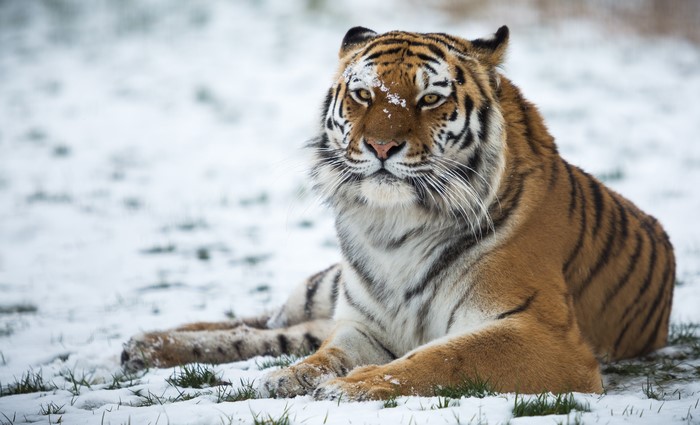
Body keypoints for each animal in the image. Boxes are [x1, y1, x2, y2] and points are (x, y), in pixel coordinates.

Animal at [121, 25, 676, 401]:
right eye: (364, 94)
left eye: (429, 99)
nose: (382, 146)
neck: (396, 228)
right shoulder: (364, 323)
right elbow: (325, 353)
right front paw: (291, 377)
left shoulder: (544, 335)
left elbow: (444, 355)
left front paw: (353, 387)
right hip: (323, 288)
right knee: (262, 322)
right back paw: (145, 344)